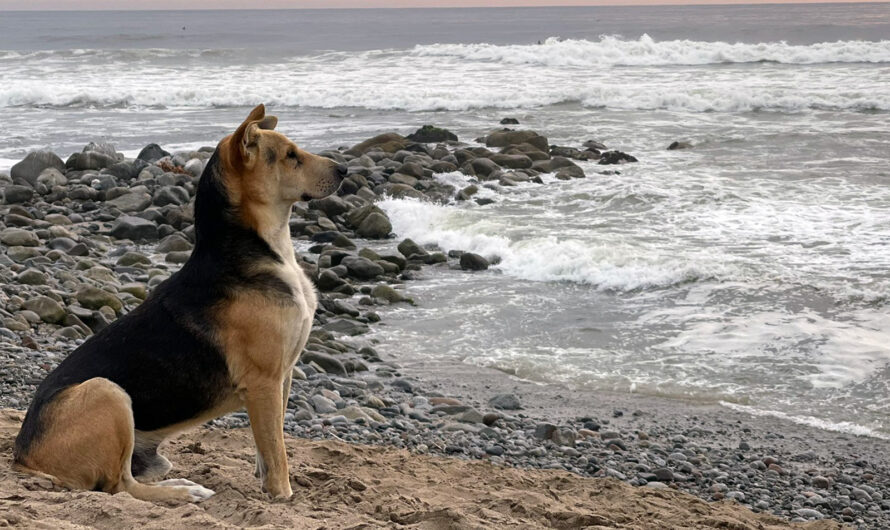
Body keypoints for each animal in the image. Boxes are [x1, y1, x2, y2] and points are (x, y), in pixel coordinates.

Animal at [14, 104, 346, 504]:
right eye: (291, 156)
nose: (345, 171)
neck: (258, 248)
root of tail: (23, 456)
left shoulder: (283, 376)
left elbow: (269, 445)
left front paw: (267, 483)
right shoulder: (264, 381)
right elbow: (277, 450)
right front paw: (283, 496)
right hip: (106, 392)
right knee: (120, 486)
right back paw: (183, 493)